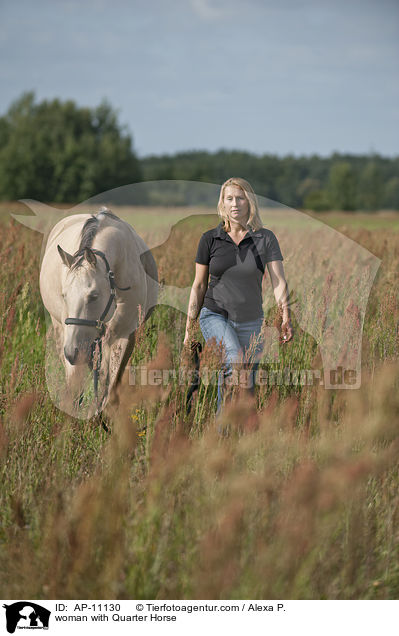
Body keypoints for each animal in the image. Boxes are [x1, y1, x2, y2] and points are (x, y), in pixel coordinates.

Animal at [39, 206, 159, 420]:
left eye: (93, 295)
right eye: (64, 295)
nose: (72, 352)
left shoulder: (121, 336)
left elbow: (109, 386)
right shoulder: (73, 341)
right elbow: (75, 386)